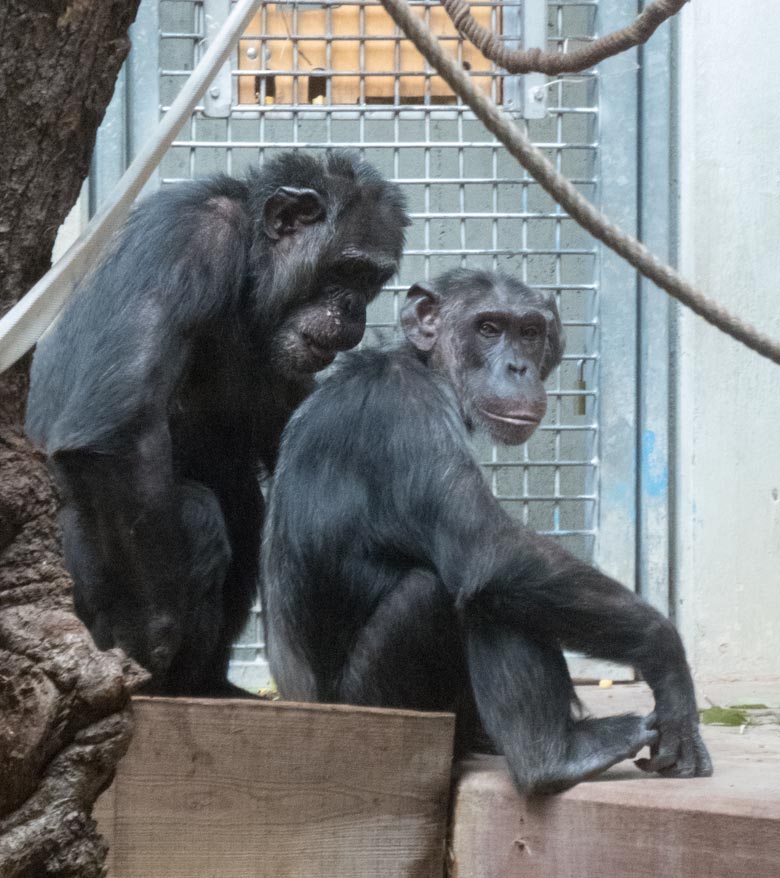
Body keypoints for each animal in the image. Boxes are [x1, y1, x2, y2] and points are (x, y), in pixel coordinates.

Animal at [25, 153, 408, 700]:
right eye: (347, 269)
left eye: (372, 280)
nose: (353, 308)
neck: (249, 265)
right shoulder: (188, 240)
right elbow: (120, 426)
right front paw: (150, 626)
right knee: (200, 512)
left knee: (245, 506)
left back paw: (209, 682)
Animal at [264, 270, 712, 796]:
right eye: (489, 328)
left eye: (530, 332)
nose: (518, 367)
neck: (427, 367)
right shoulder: (407, 411)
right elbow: (488, 550)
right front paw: (669, 664)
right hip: (370, 724)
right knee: (458, 590)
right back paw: (556, 756)